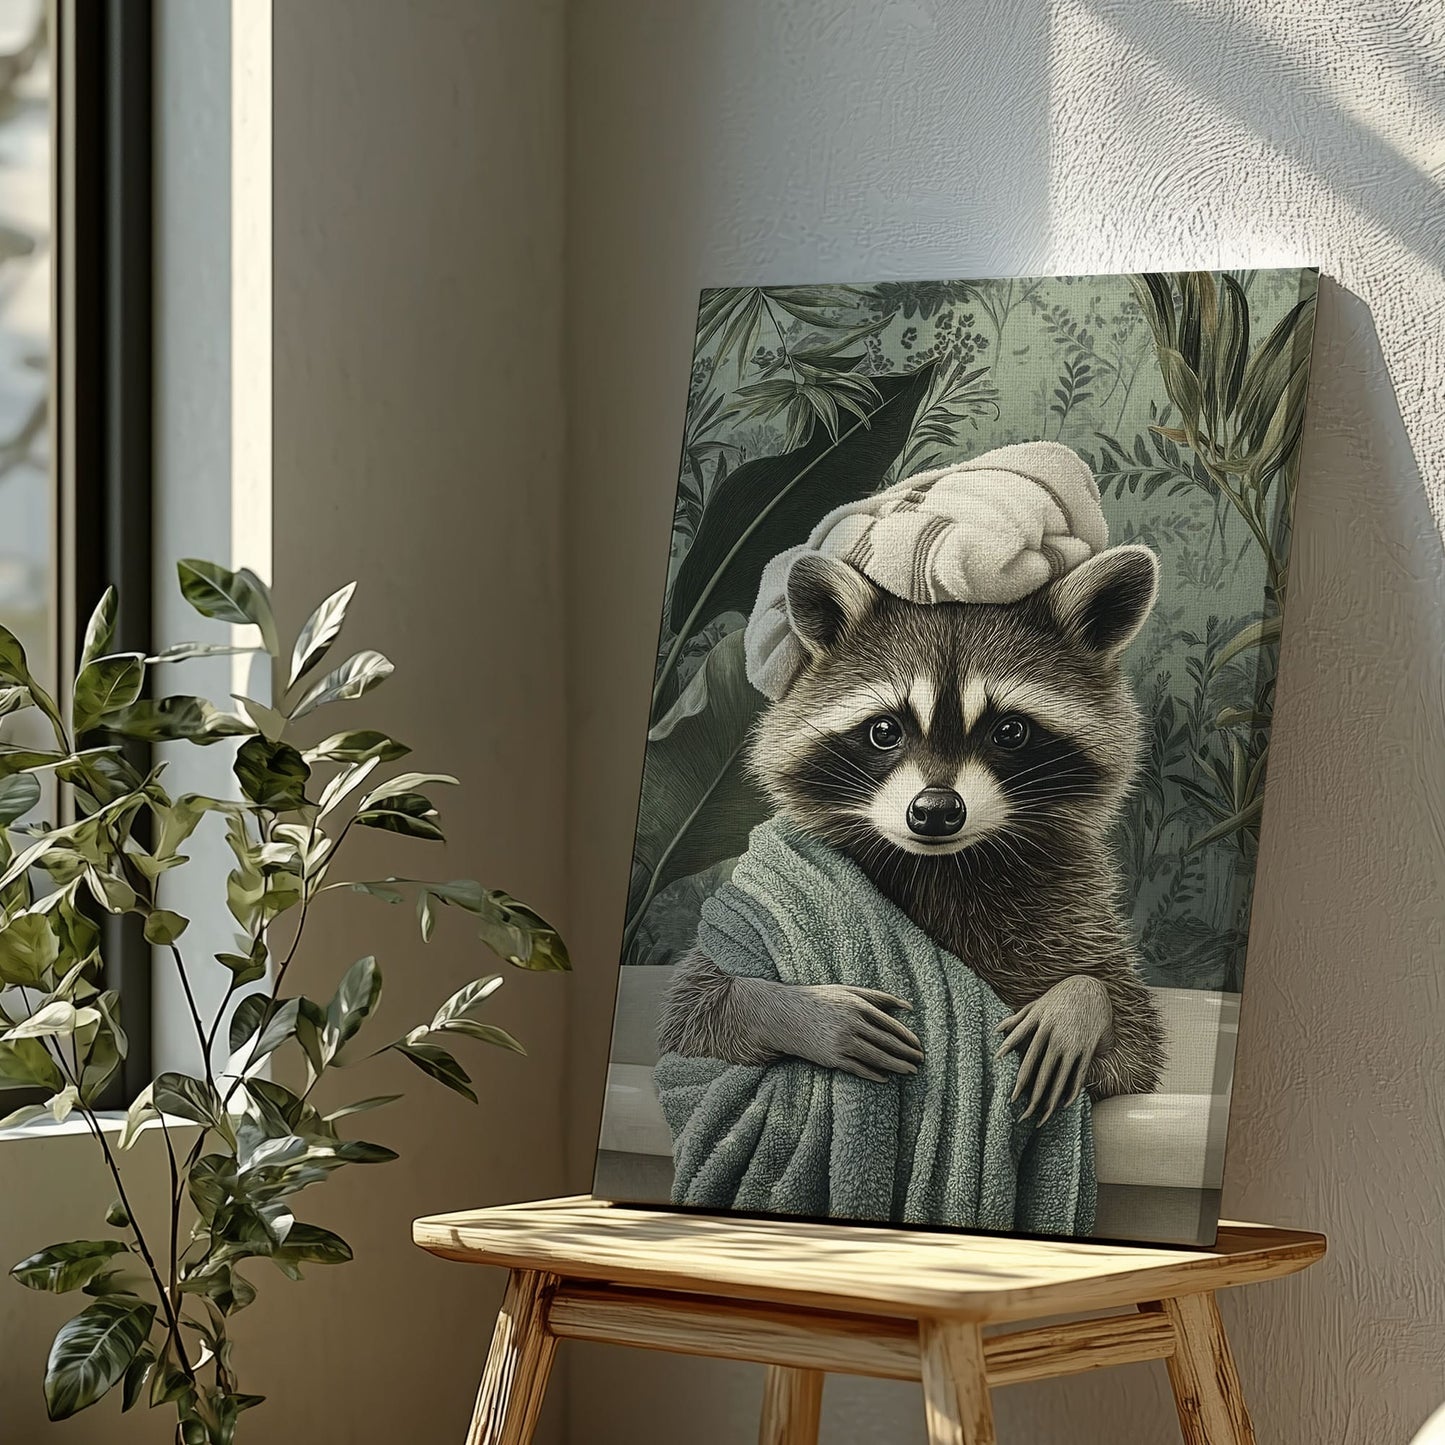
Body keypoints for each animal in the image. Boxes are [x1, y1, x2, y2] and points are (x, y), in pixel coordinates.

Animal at [658, 545, 1166, 1120]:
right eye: (884, 730)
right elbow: (696, 1013)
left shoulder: (1075, 913)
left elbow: (1131, 1044)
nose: (936, 811)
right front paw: (804, 1009)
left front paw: (1079, 1001)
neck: (944, 863)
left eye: (1010, 731)